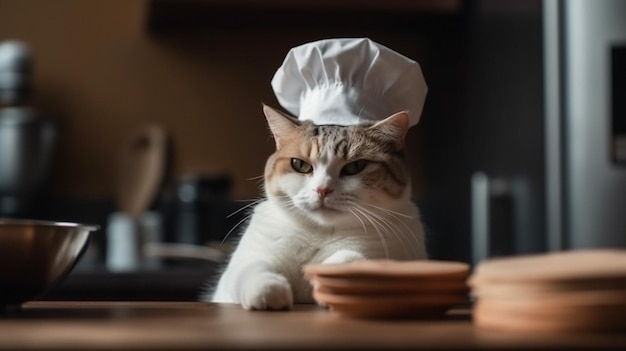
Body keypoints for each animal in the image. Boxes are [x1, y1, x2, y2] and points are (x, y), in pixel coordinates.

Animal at [207, 104, 426, 310]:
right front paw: (267, 289)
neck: (320, 232)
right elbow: (250, 267)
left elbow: (356, 259)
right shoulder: (237, 272)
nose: (322, 189)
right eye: (299, 164)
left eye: (356, 166)